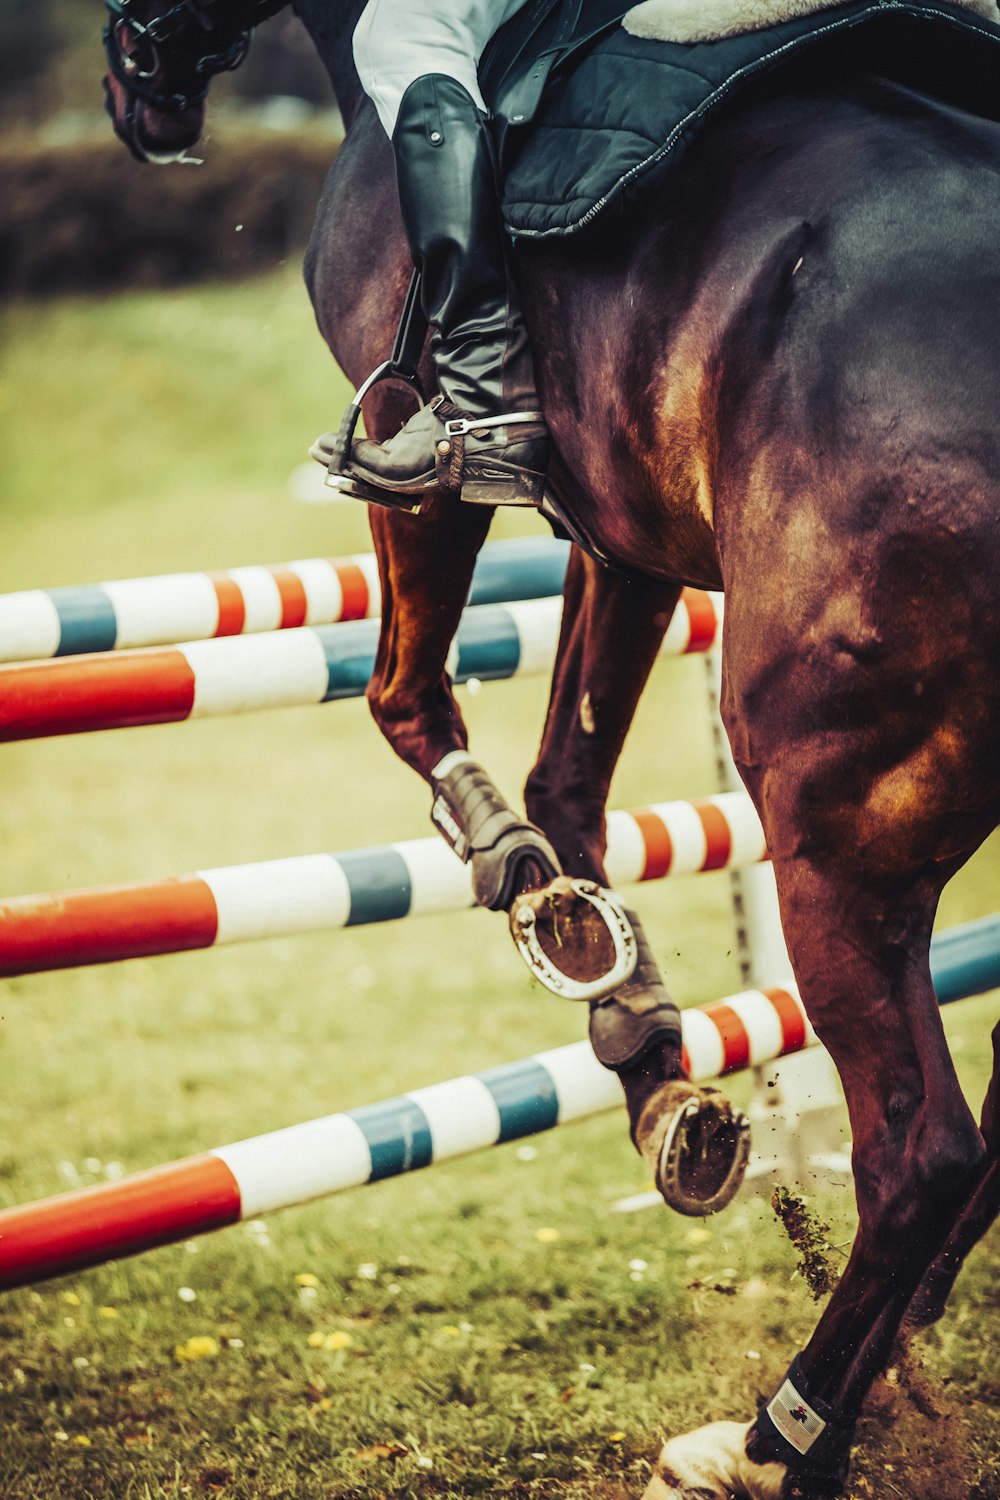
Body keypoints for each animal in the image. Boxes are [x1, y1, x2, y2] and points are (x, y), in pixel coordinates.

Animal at [103, 5, 1000, 1494]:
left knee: (924, 1156)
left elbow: (408, 699)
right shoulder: (623, 530)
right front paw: (640, 1044)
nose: (138, 87)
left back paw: (780, 1438)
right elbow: (566, 784)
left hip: (831, 824)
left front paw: (528, 889)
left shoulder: (426, 452)